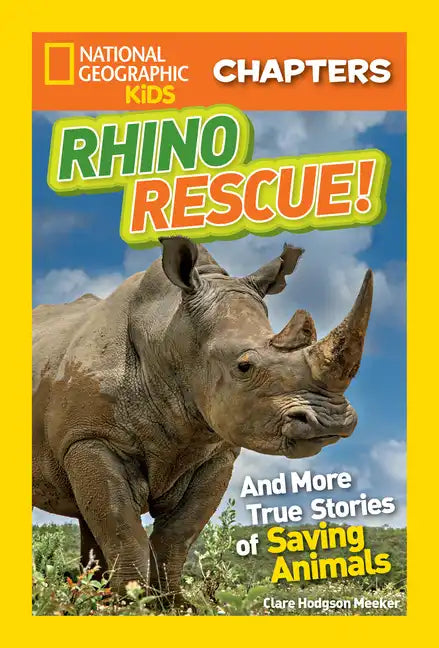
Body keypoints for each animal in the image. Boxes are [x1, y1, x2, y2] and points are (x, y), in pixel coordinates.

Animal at [33, 236, 373, 608]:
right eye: (244, 366)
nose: (330, 420)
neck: (170, 335)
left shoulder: (217, 452)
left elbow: (177, 534)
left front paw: (174, 606)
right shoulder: (90, 438)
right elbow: (123, 530)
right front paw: (129, 606)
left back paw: (86, 600)